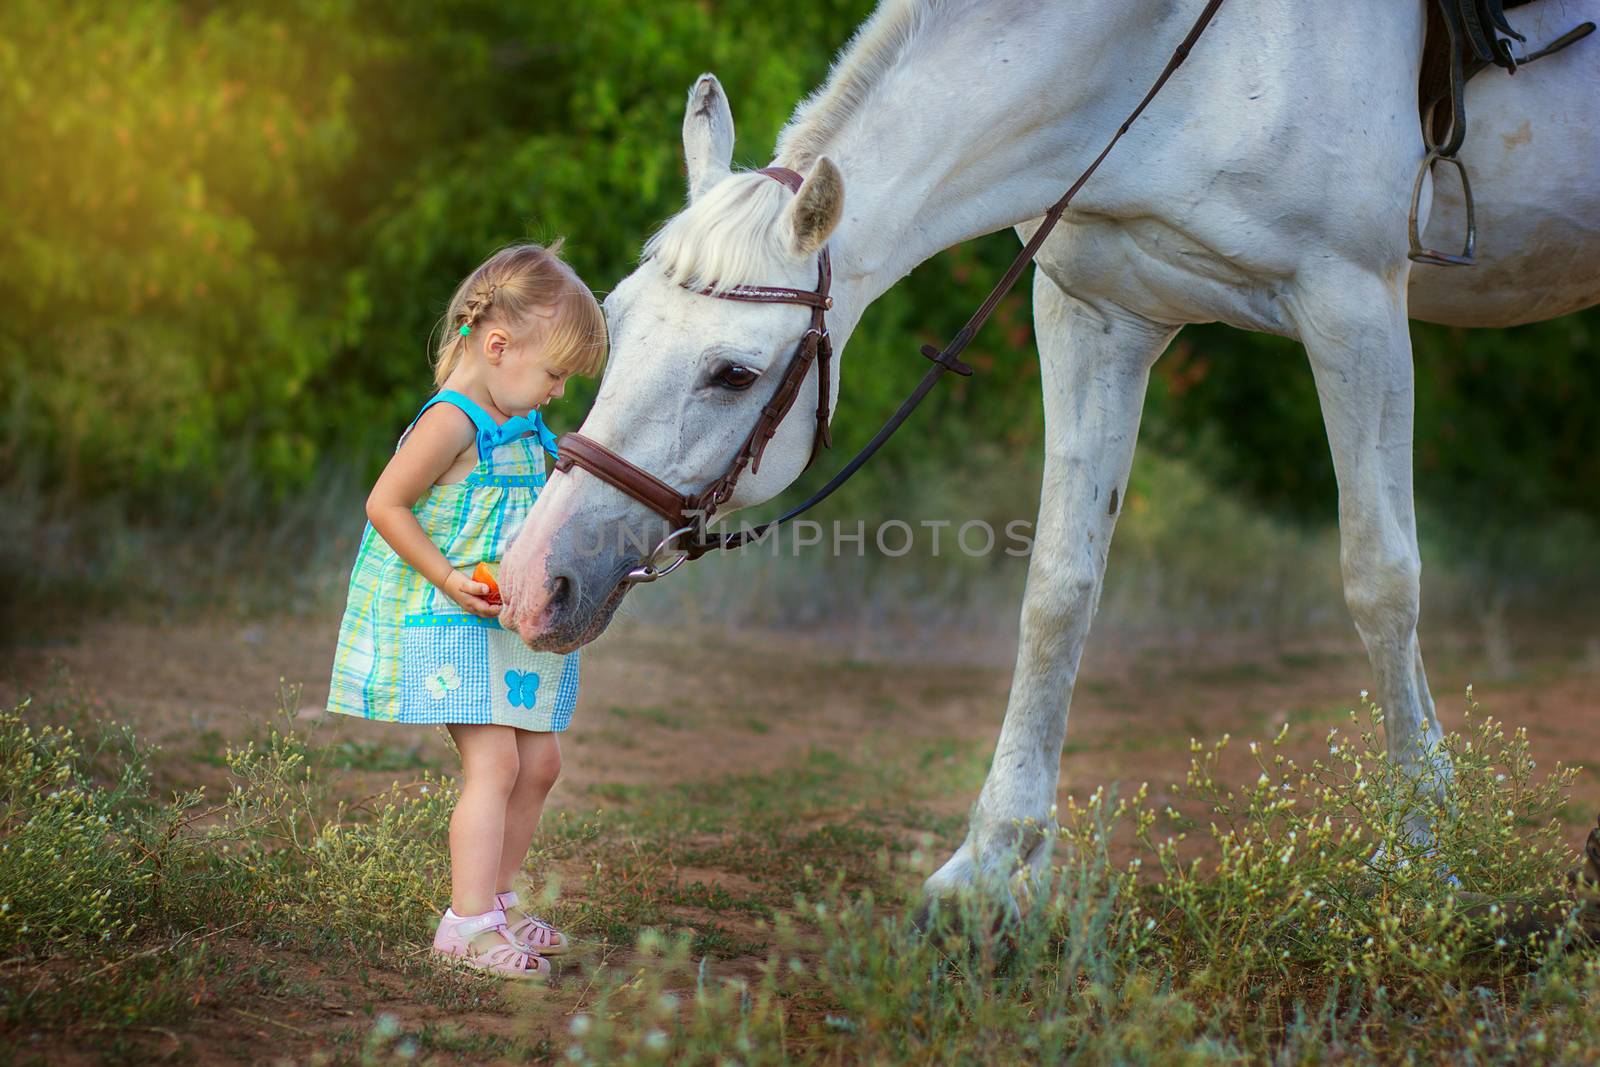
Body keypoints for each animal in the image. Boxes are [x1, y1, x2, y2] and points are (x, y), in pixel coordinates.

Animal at [505, 0, 1600, 921]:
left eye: (733, 372)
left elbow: (1382, 577)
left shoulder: (1354, 304)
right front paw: (989, 862)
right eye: (617, 321)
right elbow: (1060, 587)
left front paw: (1419, 853)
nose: (534, 579)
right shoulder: (1095, 310)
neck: (1177, 52)